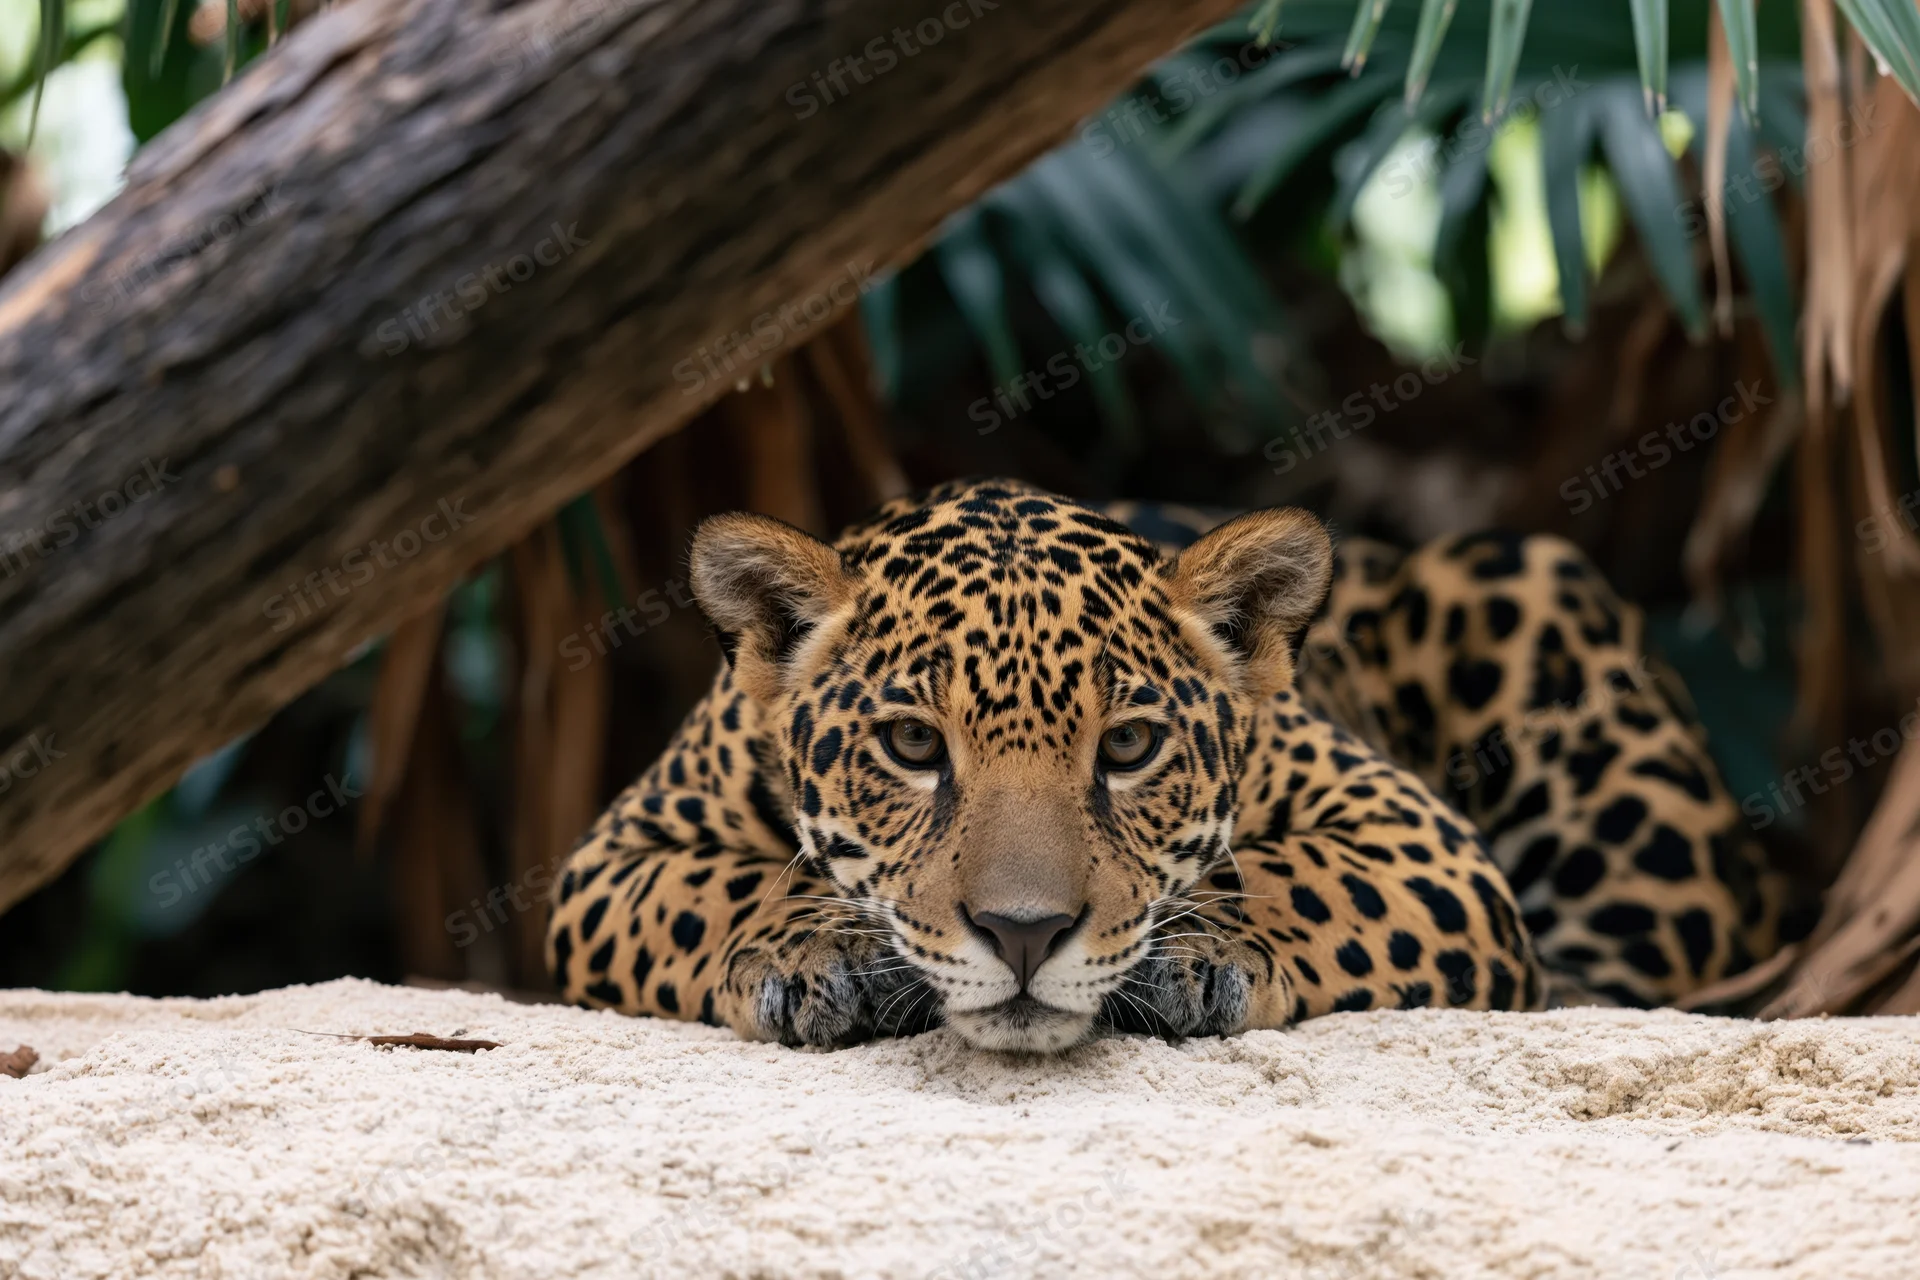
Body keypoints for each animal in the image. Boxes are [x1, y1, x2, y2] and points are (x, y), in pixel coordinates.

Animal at [545, 479, 1778, 1051]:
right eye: (912, 745)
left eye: (1129, 746)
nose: (1026, 935)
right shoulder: (609, 862)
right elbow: (724, 887)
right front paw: (814, 950)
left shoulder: (1420, 840)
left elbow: (1284, 874)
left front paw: (1197, 951)